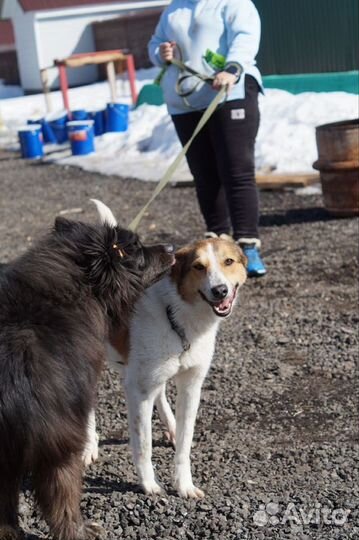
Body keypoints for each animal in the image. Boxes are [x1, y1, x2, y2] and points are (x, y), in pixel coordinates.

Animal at [85, 201, 248, 498]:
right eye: (198, 267)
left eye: (228, 262)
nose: (220, 290)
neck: (178, 315)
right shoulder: (137, 390)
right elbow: (143, 444)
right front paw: (149, 484)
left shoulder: (191, 386)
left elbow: (184, 443)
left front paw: (184, 484)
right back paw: (89, 445)